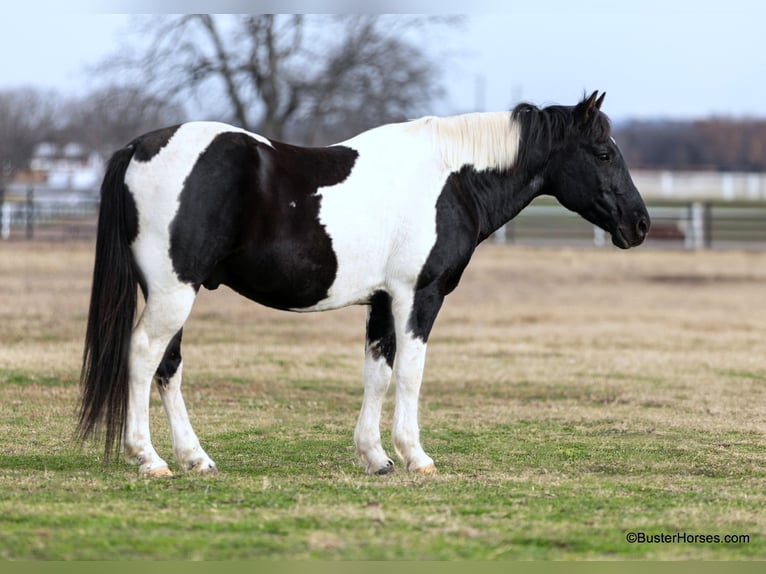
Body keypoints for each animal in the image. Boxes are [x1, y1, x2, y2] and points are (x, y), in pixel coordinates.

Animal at [77, 91, 650, 477]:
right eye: (603, 154)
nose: (640, 224)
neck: (454, 176)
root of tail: (138, 147)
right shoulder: (418, 296)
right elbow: (411, 374)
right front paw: (416, 456)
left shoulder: (381, 302)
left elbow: (377, 373)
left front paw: (375, 457)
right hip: (173, 293)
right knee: (144, 355)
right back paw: (148, 458)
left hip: (174, 293)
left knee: (168, 365)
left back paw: (195, 457)